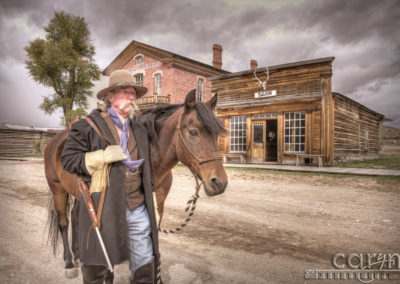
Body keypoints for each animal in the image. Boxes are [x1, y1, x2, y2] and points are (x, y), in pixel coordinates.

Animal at [44, 90, 228, 276]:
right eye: (193, 132)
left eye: (216, 134)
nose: (219, 182)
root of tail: (56, 140)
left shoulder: (158, 204)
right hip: (58, 190)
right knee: (64, 223)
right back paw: (69, 263)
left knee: (75, 218)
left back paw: (77, 255)